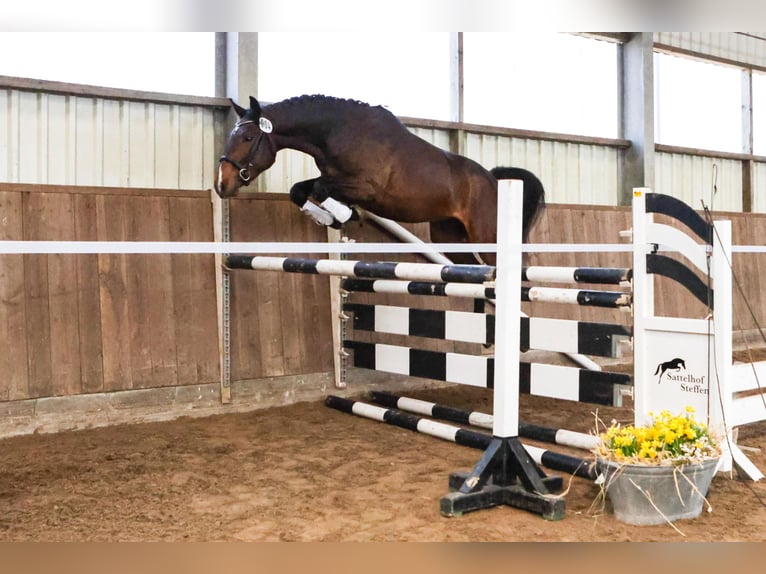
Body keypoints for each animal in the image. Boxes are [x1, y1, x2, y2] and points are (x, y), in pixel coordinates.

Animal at [215, 95, 546, 265]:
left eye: (247, 138)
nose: (221, 185)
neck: (338, 131)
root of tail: (492, 181)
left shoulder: (364, 188)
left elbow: (321, 190)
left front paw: (342, 216)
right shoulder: (334, 177)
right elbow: (300, 190)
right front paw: (330, 217)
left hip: (487, 237)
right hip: (450, 236)